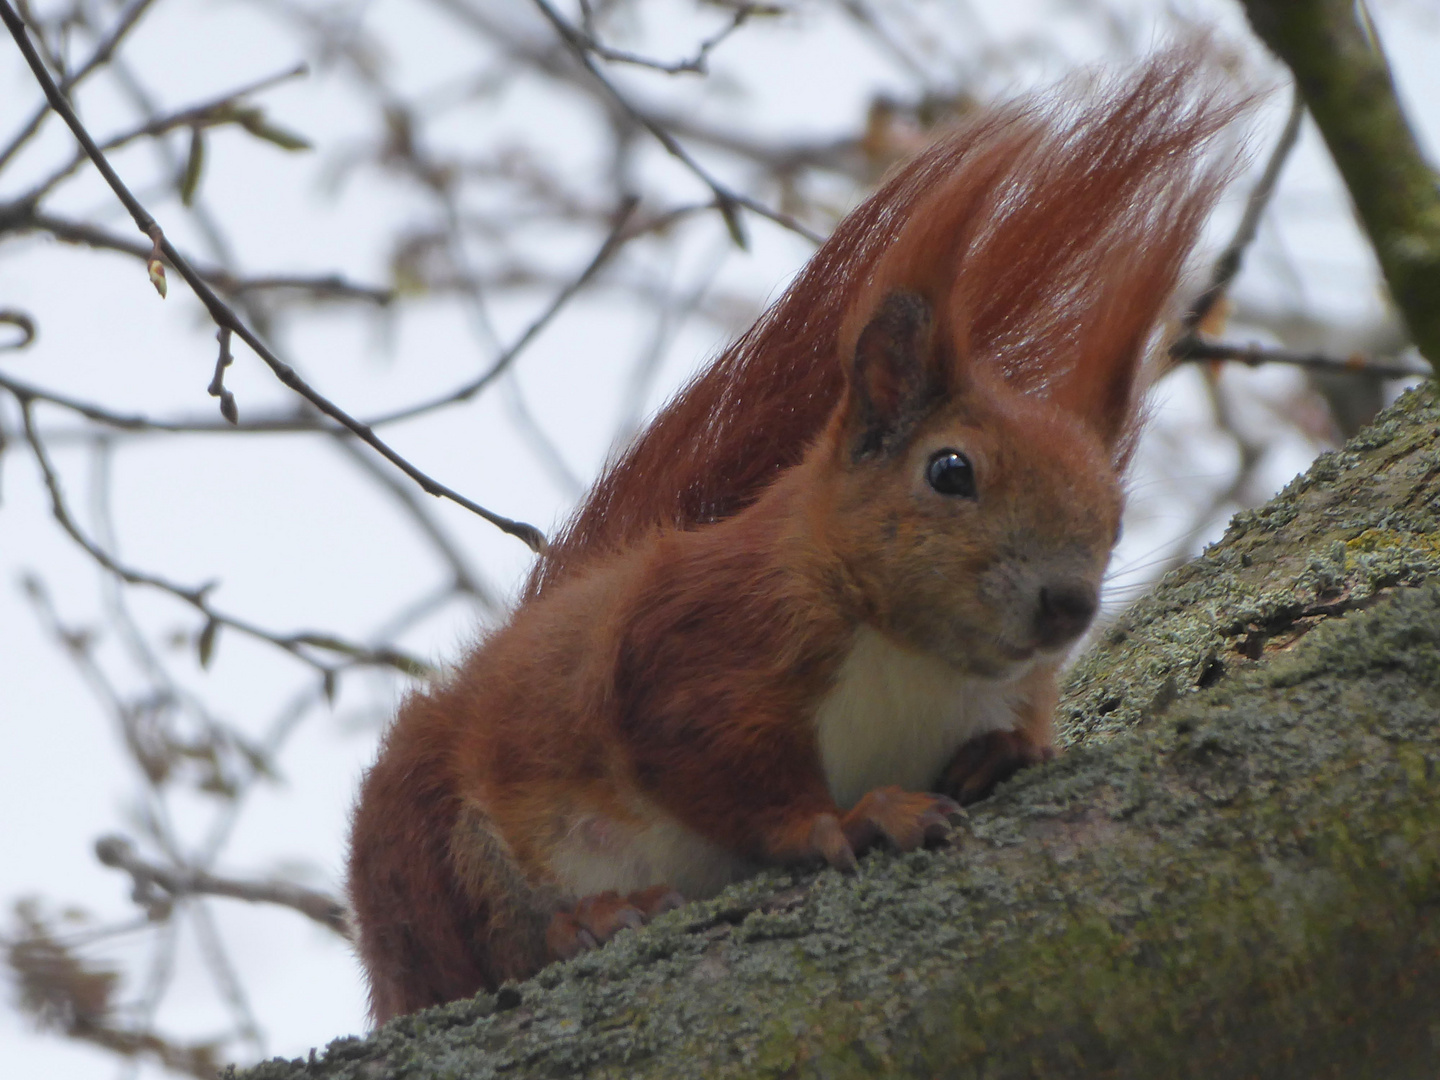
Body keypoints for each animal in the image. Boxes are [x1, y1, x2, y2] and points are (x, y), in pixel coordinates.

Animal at [345, 50, 1238, 1025]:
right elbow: (714, 759)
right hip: (425, 843)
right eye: (950, 471)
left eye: (1116, 516)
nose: (1068, 604)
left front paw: (1007, 753)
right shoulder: (699, 636)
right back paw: (584, 921)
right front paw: (850, 819)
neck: (912, 656)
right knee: (478, 940)